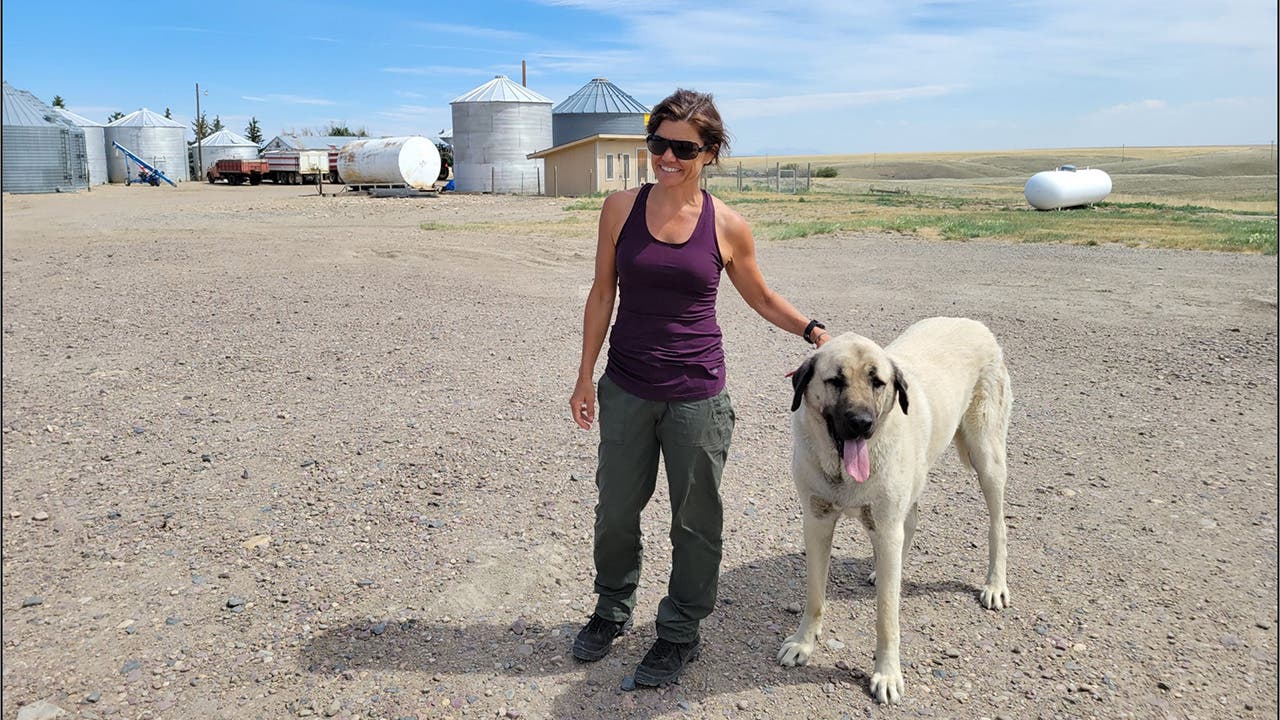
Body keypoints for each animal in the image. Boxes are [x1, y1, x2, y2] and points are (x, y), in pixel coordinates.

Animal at [777, 317, 1012, 704]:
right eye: (835, 380)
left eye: (878, 381)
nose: (862, 423)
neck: (844, 471)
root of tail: (973, 322)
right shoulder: (817, 521)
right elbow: (814, 595)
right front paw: (803, 643)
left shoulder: (885, 528)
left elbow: (887, 617)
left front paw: (886, 674)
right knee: (912, 519)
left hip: (987, 457)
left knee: (998, 526)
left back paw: (994, 583)